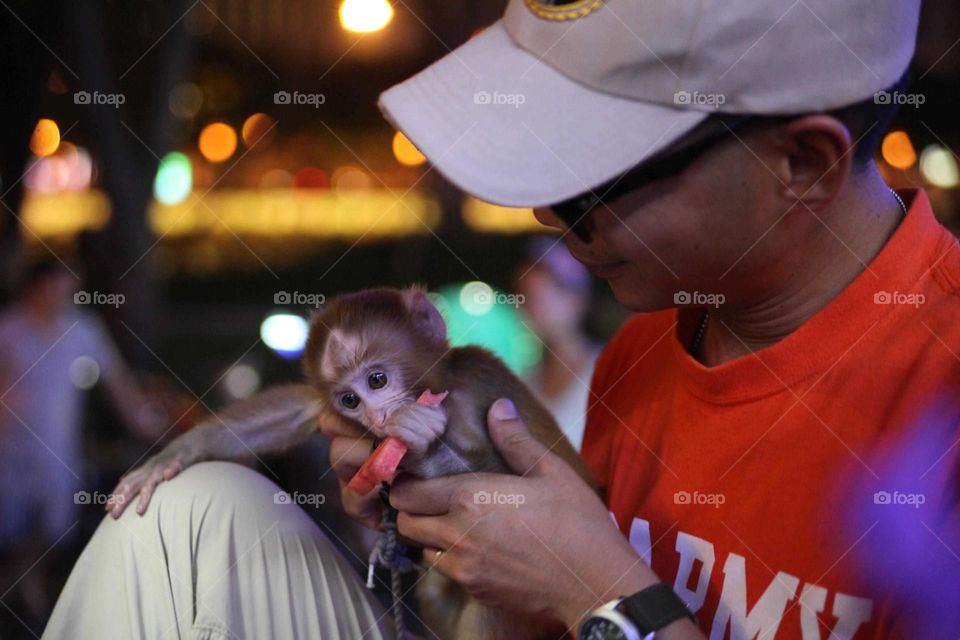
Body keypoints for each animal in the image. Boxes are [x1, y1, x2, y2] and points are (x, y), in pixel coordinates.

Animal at [109, 286, 594, 639]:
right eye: (349, 400)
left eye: (377, 380)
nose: (378, 419)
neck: (443, 389)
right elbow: (288, 413)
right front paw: (176, 453)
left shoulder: (481, 381)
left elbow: (515, 484)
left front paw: (420, 444)